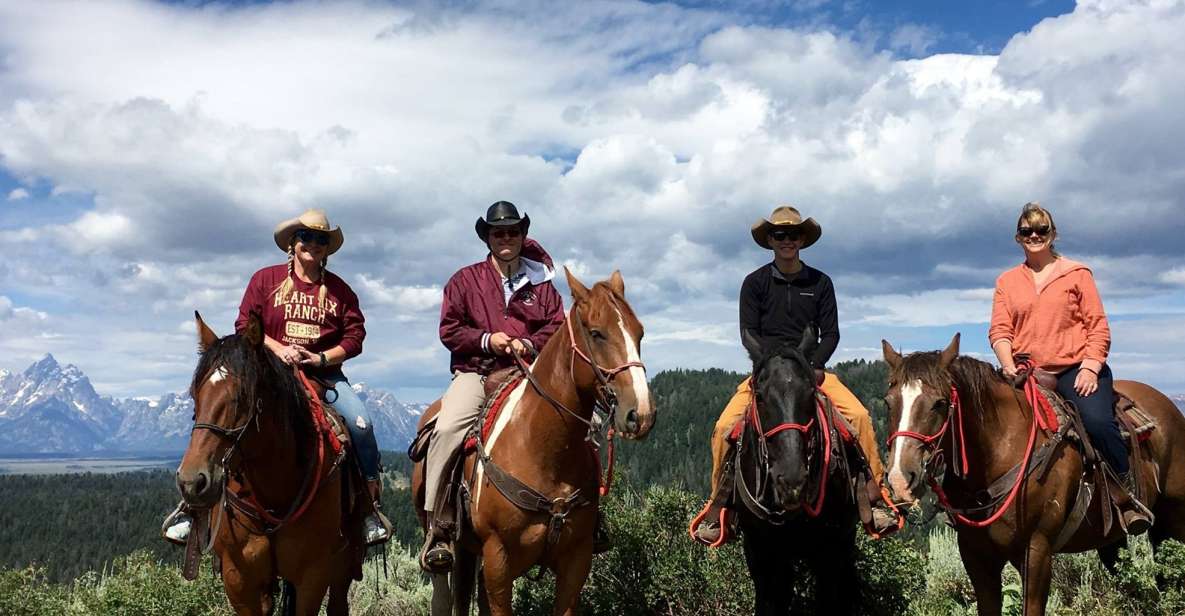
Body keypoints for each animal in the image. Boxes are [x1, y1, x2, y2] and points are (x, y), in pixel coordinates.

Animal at [176, 315, 364, 616]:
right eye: (195, 394)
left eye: (242, 397)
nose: (192, 482)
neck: (274, 493)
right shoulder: (239, 579)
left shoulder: (313, 576)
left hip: (343, 566)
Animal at [412, 270, 658, 616]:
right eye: (596, 334)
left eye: (640, 333)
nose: (641, 414)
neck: (545, 451)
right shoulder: (499, 559)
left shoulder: (575, 561)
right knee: (443, 595)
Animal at [881, 334, 1185, 616]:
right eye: (888, 402)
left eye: (940, 403)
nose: (900, 478)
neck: (998, 453)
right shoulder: (976, 556)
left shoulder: (1036, 552)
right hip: (1112, 539)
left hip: (1172, 524)